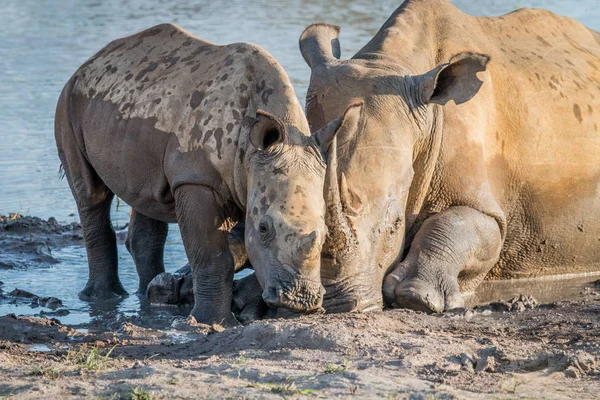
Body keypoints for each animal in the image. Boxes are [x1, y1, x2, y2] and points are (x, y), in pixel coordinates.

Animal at [55, 22, 356, 324]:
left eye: (325, 233)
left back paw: (146, 296)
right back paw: (103, 298)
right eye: (263, 228)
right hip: (69, 101)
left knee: (145, 196)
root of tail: (91, 61)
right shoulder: (196, 180)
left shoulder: (250, 178)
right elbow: (213, 256)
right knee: (91, 195)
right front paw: (211, 322)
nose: (300, 300)